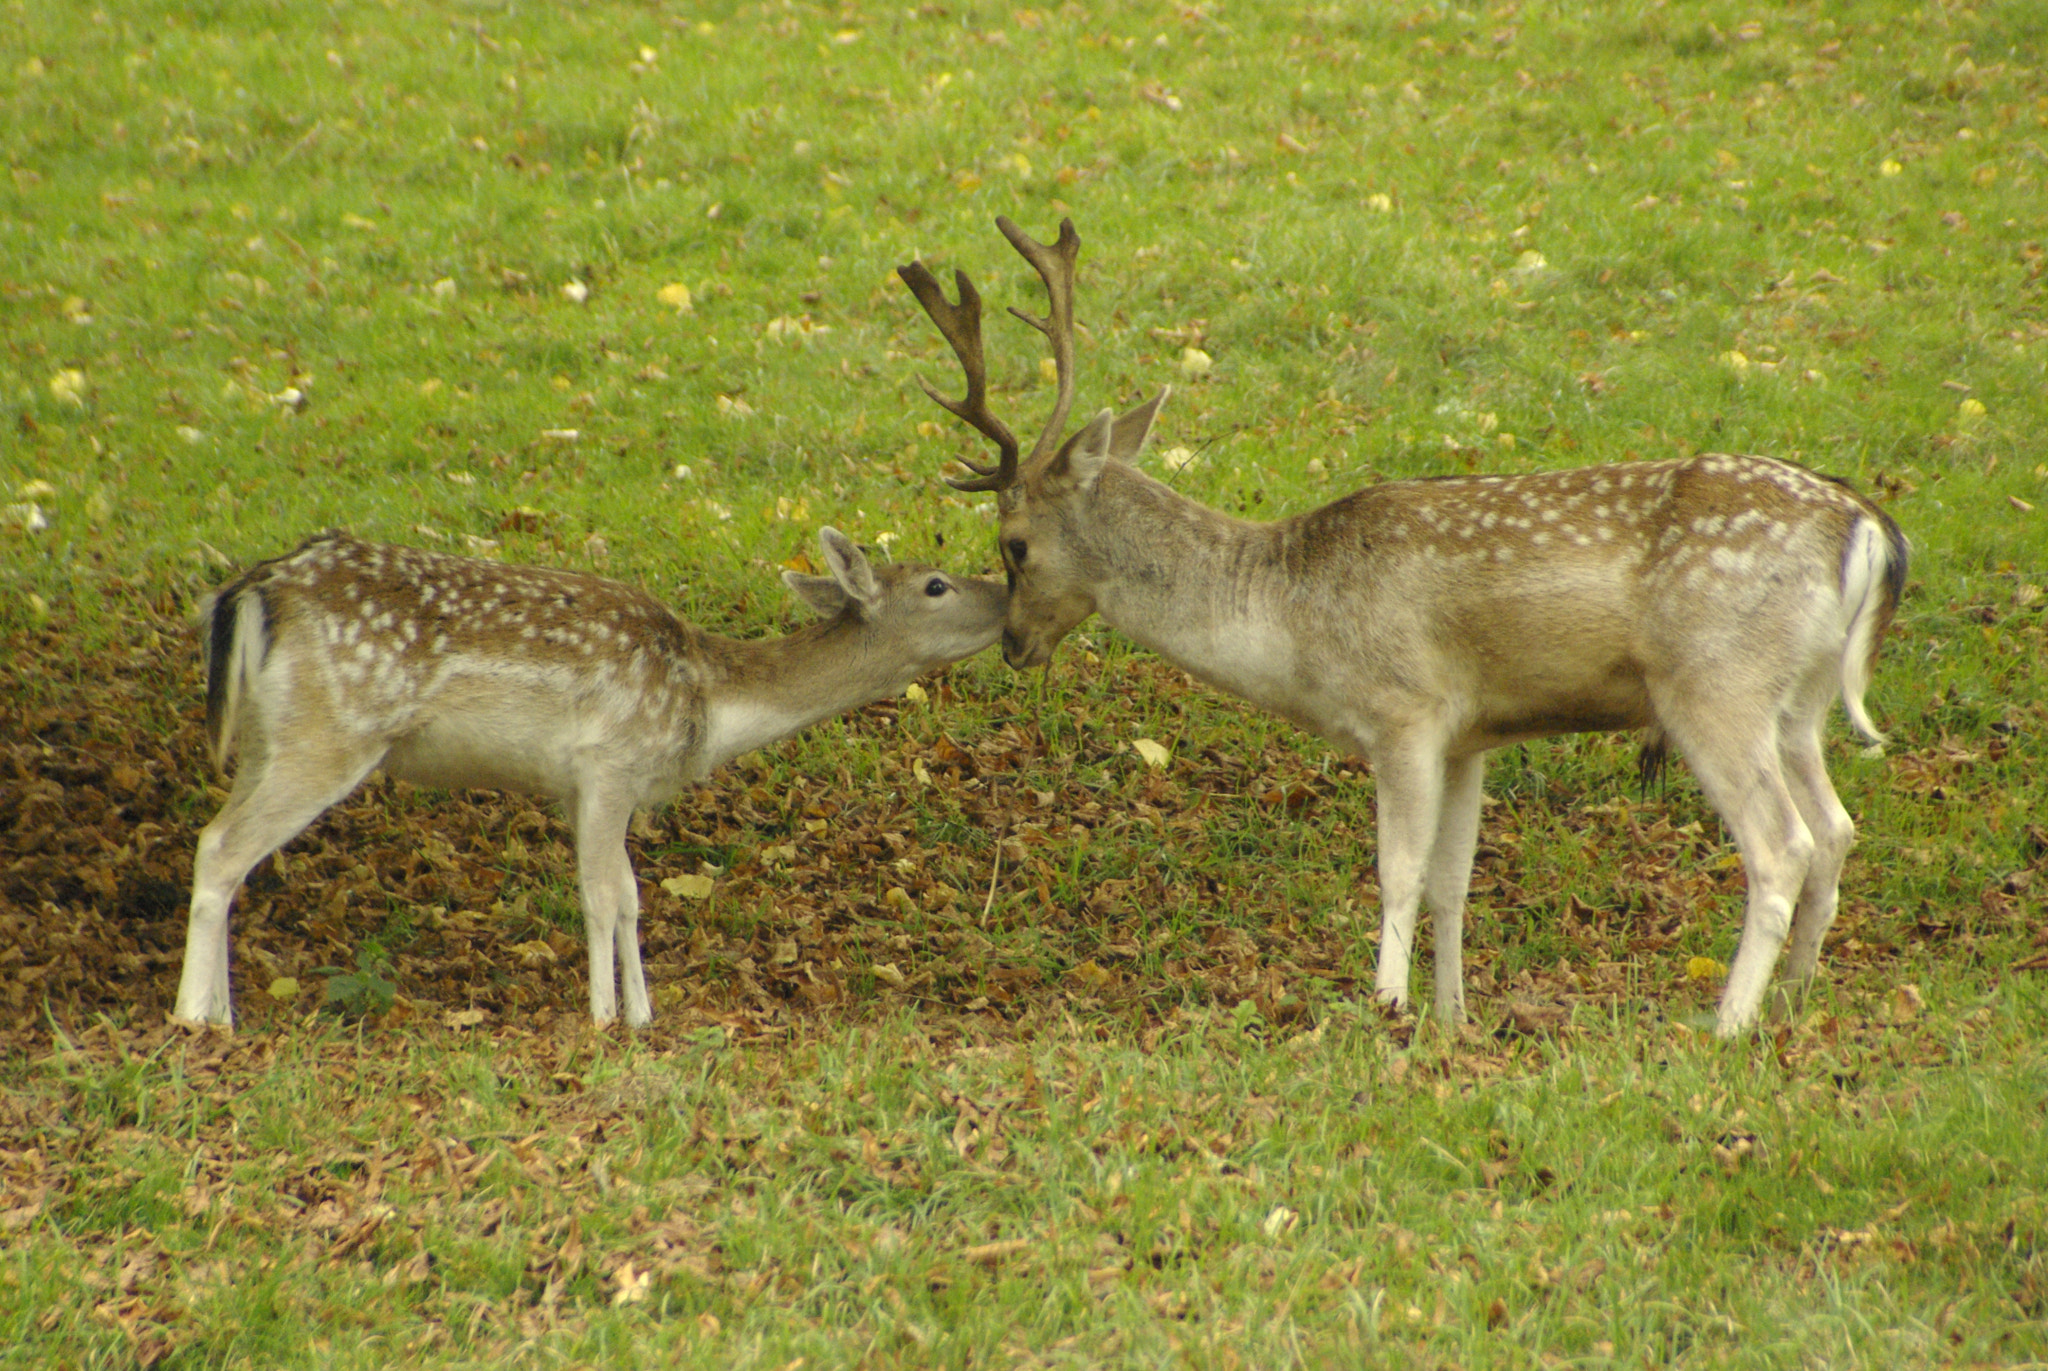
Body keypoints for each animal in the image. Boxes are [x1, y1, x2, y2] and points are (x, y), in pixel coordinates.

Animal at [176, 527, 1007, 1029]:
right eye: (936, 584)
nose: (1007, 591)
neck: (709, 699)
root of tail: (251, 591)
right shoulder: (608, 761)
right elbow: (603, 898)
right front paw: (606, 1018)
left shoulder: (594, 788)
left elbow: (633, 898)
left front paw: (643, 1014)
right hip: (332, 732)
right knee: (220, 847)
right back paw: (193, 1018)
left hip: (266, 738)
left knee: (225, 845)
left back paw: (221, 1011)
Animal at [898, 217, 1908, 1038]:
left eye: (1014, 544)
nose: (1015, 645)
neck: (1289, 620)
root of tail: (1863, 529)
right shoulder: (1473, 735)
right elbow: (1455, 879)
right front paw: (1455, 1015)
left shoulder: (1405, 710)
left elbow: (1399, 870)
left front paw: (1384, 1006)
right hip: (1799, 702)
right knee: (1839, 828)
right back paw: (1793, 1002)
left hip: (1715, 682)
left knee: (1782, 844)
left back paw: (1727, 1022)